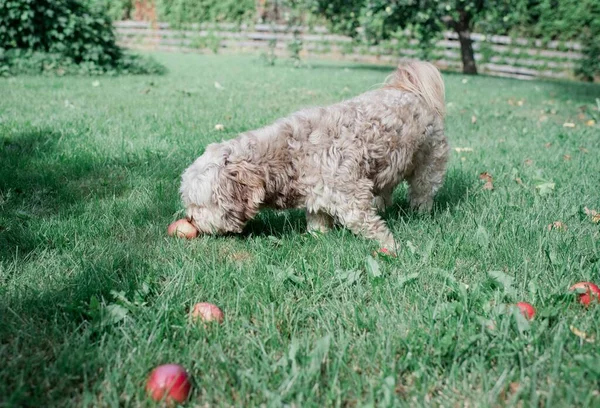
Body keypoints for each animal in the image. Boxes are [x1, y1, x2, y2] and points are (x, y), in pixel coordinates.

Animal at [180, 60, 448, 253]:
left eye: (199, 204)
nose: (190, 219)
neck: (290, 155)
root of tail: (411, 90)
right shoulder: (319, 195)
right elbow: (318, 221)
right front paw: (318, 238)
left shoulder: (350, 195)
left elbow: (367, 224)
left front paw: (391, 246)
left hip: (429, 163)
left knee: (423, 190)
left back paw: (421, 213)